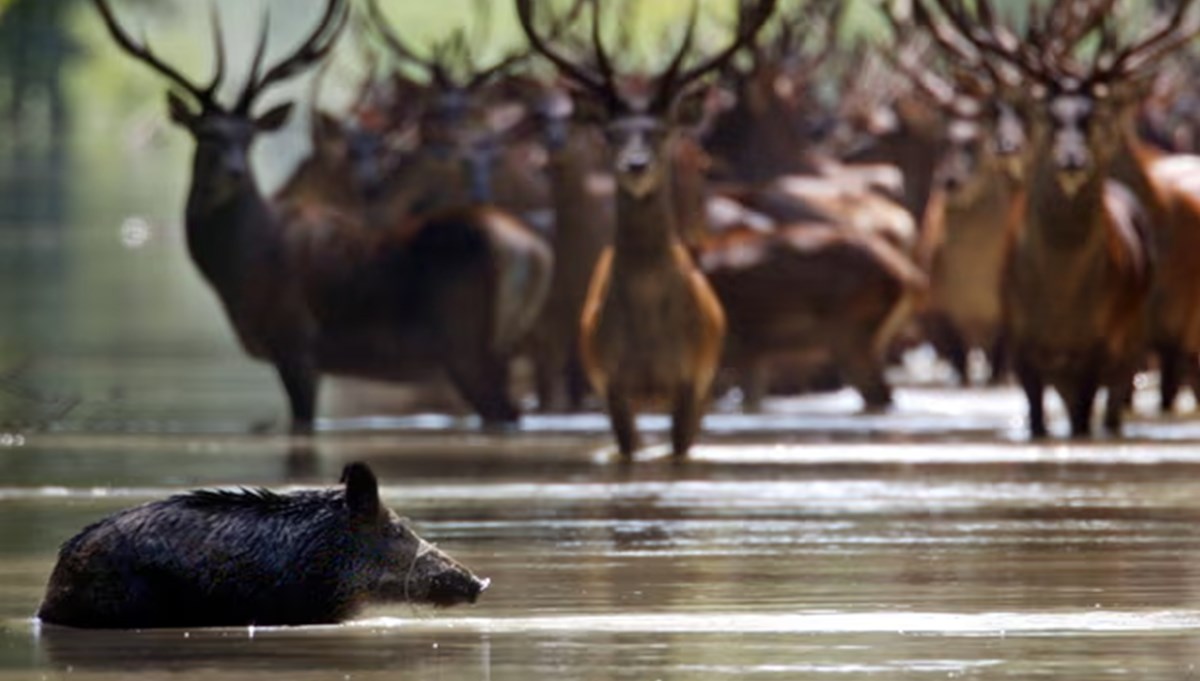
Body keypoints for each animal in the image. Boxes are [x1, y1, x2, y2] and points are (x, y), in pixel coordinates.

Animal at [97, 0, 549, 431]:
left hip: (467, 345)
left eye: (248, 136)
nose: (233, 172)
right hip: (504, 344)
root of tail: (533, 252)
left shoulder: (297, 343)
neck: (246, 269)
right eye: (206, 134)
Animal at [931, 0, 1195, 436]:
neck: (1060, 305)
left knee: (1121, 403)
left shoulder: (1097, 348)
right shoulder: (1020, 347)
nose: (1072, 159)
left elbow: (1085, 418)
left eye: (1096, 116)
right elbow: (1036, 419)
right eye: (1046, 115)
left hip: (1139, 337)